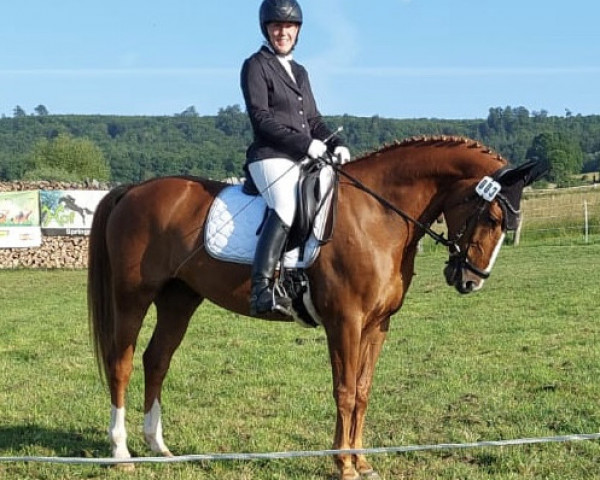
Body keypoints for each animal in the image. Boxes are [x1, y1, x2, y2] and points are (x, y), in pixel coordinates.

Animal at [89, 136, 544, 480]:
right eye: (493, 217)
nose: (469, 281)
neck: (378, 215)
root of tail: (133, 189)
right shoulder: (345, 322)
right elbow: (344, 391)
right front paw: (343, 465)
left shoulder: (377, 325)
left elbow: (362, 391)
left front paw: (361, 461)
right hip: (133, 296)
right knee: (121, 363)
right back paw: (121, 453)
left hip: (179, 298)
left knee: (157, 359)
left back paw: (158, 447)